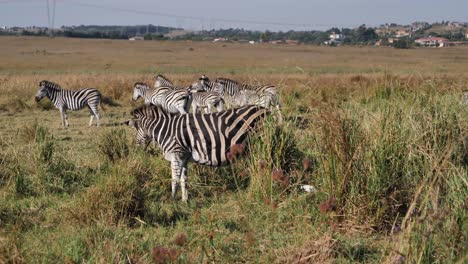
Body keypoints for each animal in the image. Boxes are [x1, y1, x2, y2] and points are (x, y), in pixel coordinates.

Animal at [124, 104, 266, 201]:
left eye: (135, 129)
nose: (136, 150)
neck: (167, 130)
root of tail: (265, 109)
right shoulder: (184, 157)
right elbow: (183, 179)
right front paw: (184, 200)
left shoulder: (176, 153)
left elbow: (175, 179)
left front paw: (172, 199)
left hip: (258, 144)